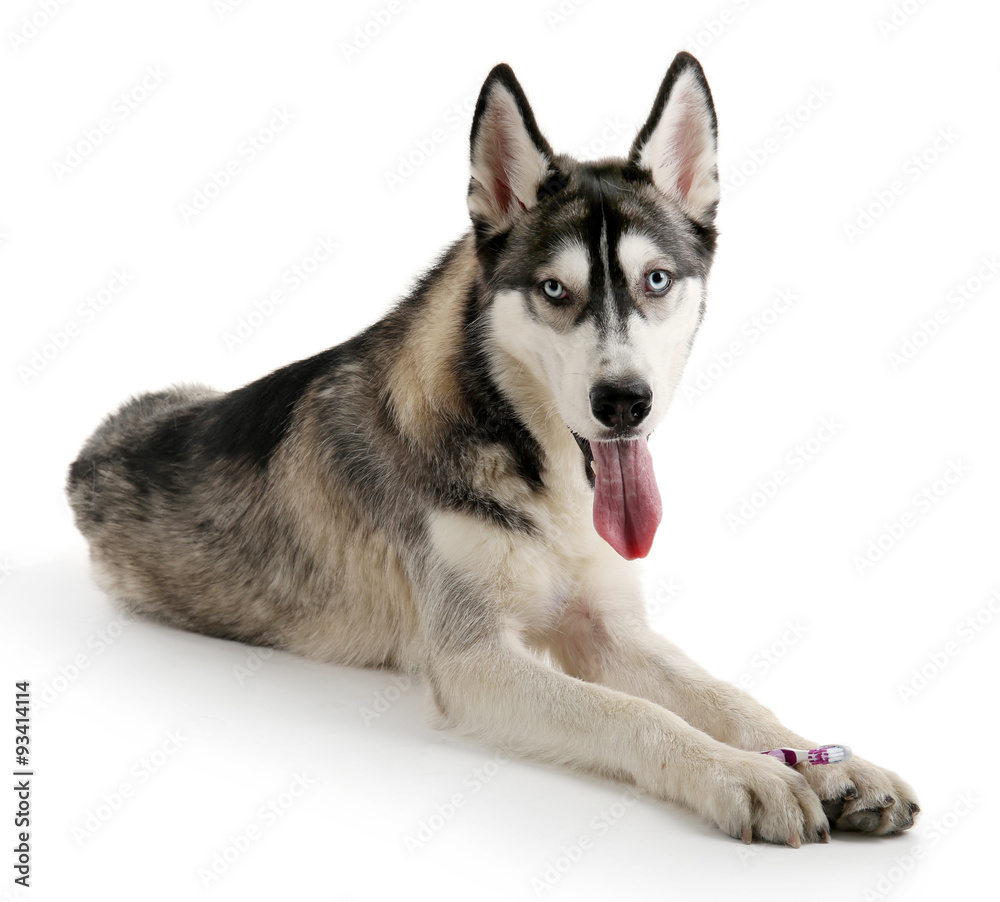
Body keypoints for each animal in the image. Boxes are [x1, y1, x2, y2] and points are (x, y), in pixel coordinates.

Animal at [66, 54, 916, 848]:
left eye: (656, 280)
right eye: (553, 290)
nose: (623, 402)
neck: (542, 477)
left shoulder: (608, 628)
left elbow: (727, 697)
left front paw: (831, 762)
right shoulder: (473, 659)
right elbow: (634, 714)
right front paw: (743, 774)